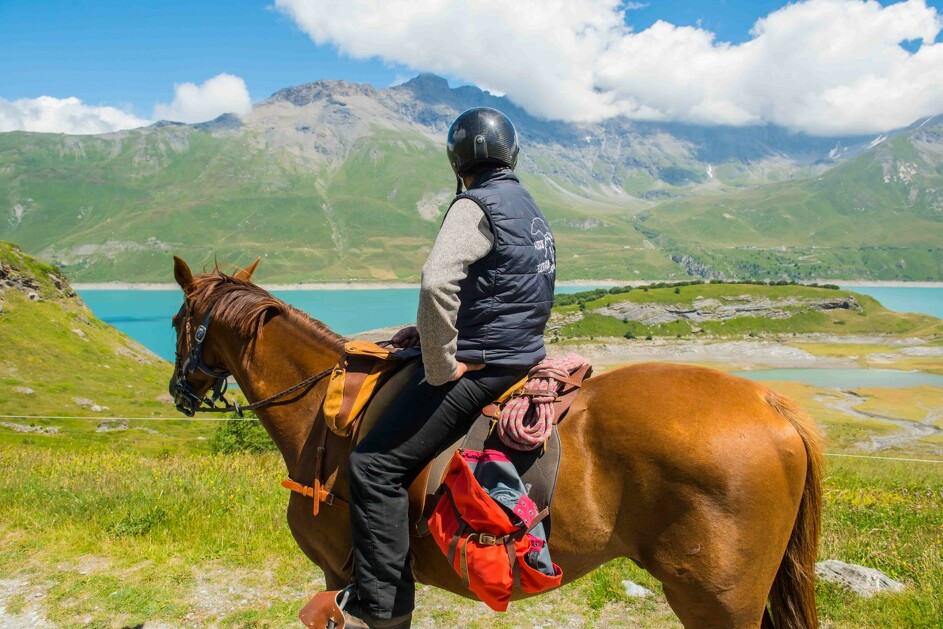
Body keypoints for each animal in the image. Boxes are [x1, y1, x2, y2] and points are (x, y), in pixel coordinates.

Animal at [171, 256, 824, 628]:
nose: (179, 391)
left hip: (717, 602)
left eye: (178, 321)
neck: (325, 415)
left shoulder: (339, 573)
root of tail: (769, 403)